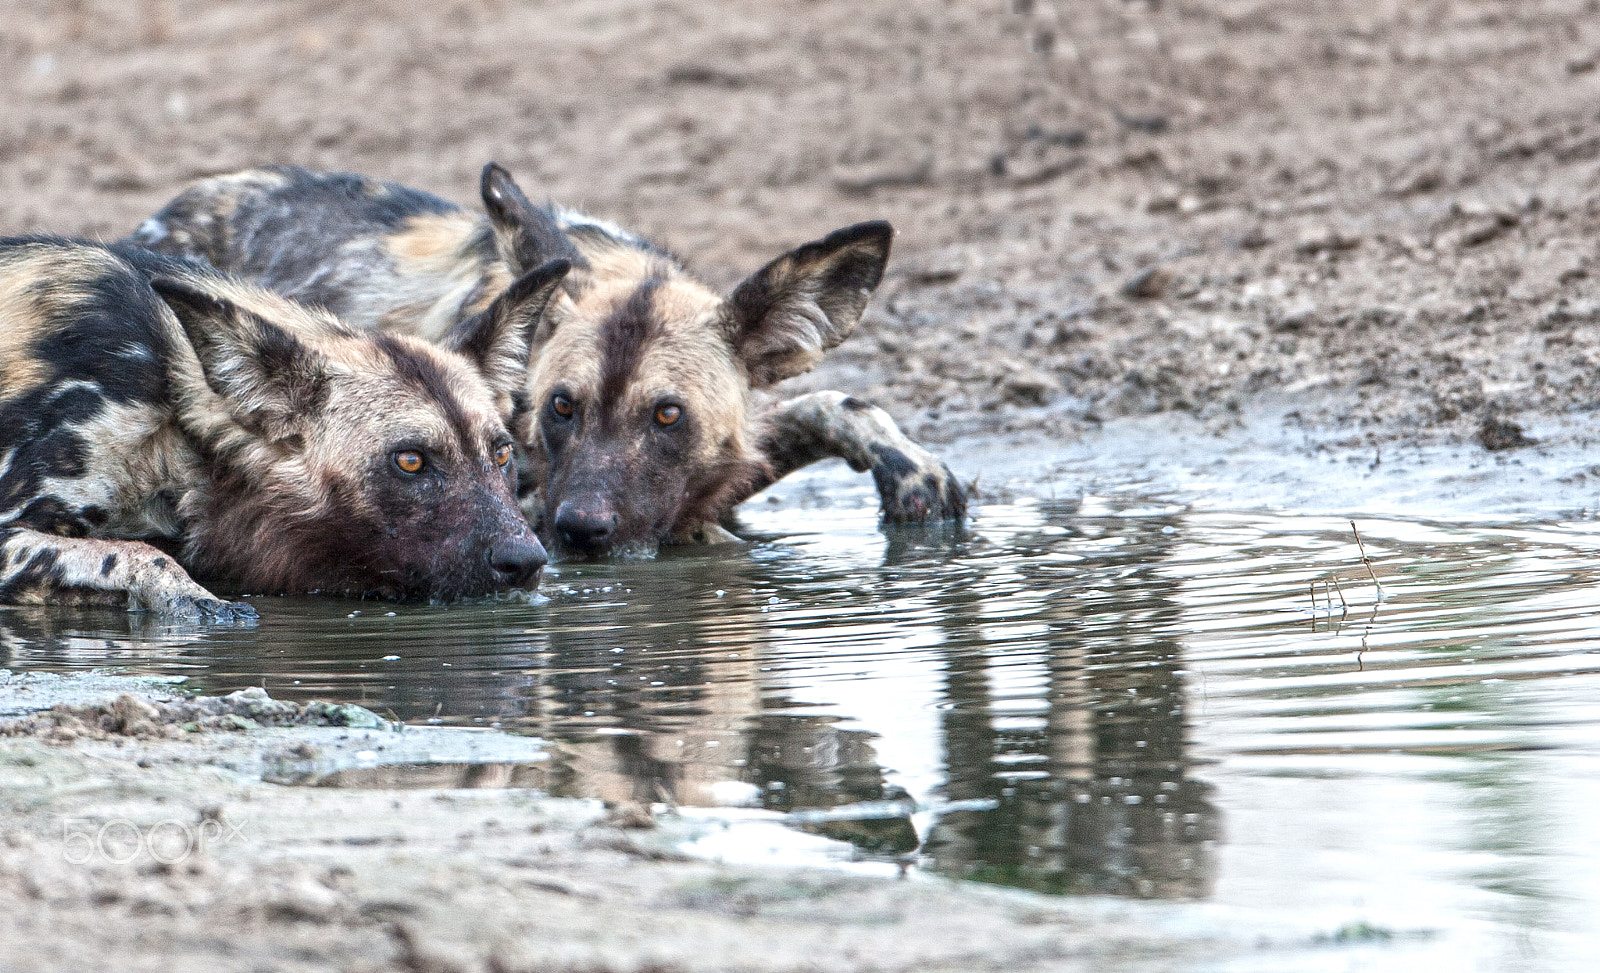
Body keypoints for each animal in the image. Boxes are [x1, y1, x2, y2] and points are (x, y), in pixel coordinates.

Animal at [131, 160, 960, 553]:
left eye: (668, 416)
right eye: (561, 407)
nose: (581, 529)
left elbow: (833, 400)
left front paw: (913, 471)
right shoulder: (521, 505)